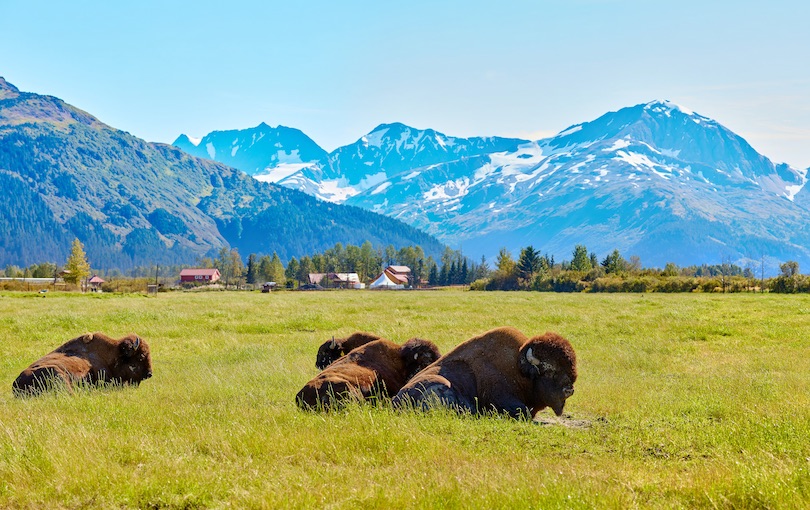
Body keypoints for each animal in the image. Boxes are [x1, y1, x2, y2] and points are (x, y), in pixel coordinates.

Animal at [392, 326, 576, 418]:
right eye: (550, 370)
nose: (569, 390)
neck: (518, 368)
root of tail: (395, 400)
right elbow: (523, 411)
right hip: (440, 383)